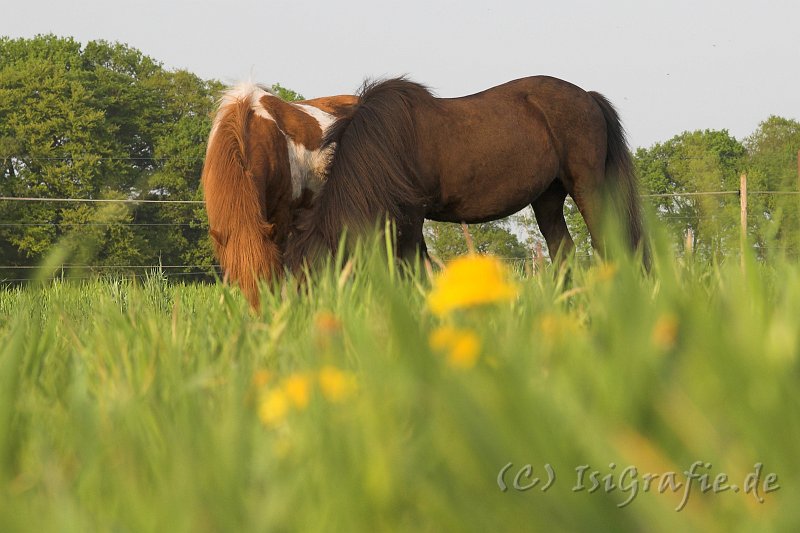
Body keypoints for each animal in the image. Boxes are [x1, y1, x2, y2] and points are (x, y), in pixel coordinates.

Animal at [286, 76, 644, 270]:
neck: (386, 143)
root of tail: (589, 98)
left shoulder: (412, 215)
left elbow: (413, 265)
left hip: (588, 187)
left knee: (608, 243)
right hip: (548, 197)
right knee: (563, 250)